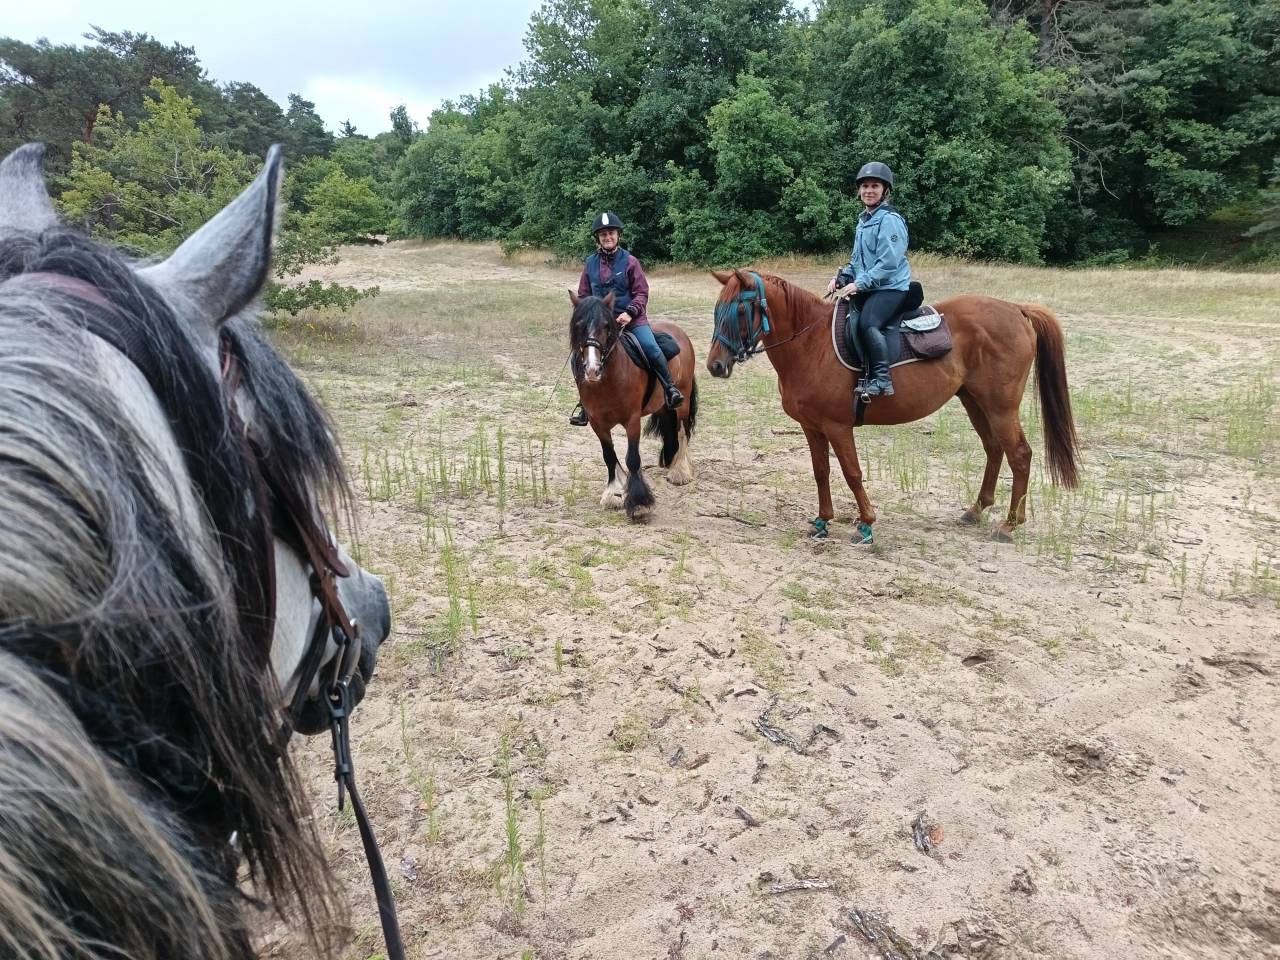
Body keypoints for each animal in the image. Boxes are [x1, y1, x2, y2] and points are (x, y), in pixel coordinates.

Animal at [569, 291, 699, 519]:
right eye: (579, 325)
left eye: (606, 325)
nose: (592, 370)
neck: (608, 380)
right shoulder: (597, 423)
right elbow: (609, 456)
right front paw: (615, 492)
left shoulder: (632, 421)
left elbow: (632, 459)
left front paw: (639, 503)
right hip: (662, 406)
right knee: (670, 428)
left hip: (681, 402)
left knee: (682, 431)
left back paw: (679, 471)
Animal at [706, 269, 1079, 542]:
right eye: (717, 310)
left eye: (741, 309)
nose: (715, 366)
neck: (810, 344)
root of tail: (1016, 309)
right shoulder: (811, 427)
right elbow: (821, 471)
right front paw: (823, 521)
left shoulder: (837, 426)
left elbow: (852, 473)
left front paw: (866, 523)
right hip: (975, 402)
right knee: (994, 449)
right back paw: (976, 510)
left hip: (1000, 407)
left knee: (1019, 455)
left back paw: (1010, 524)